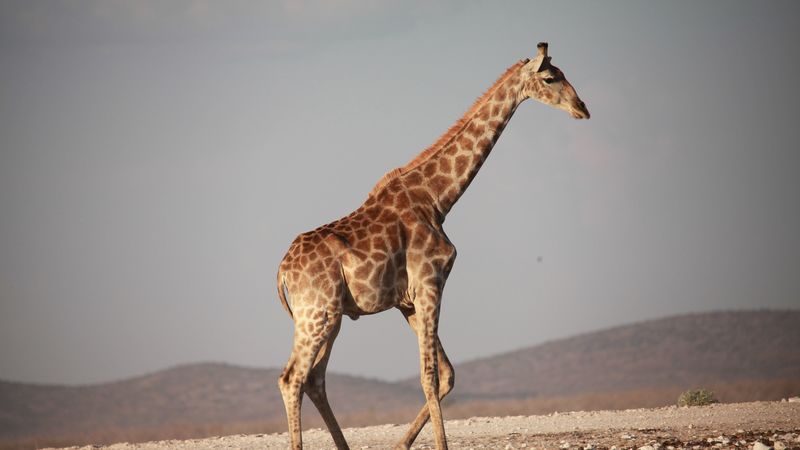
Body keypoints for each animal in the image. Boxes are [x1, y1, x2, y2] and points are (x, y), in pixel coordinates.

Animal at [276, 42, 589, 450]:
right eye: (551, 78)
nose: (582, 108)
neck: (438, 199)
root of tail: (282, 271)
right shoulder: (429, 283)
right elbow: (429, 376)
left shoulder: (408, 301)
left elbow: (447, 375)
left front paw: (400, 445)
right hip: (316, 314)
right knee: (292, 379)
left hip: (330, 317)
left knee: (314, 379)